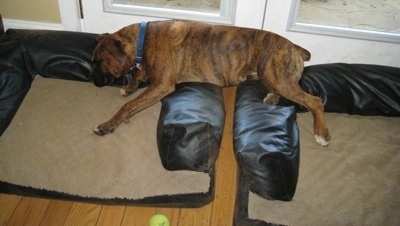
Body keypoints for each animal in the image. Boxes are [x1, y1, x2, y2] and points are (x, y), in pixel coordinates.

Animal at [90, 19, 332, 147]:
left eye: (99, 62)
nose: (94, 80)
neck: (142, 39)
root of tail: (293, 45)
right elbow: (139, 75)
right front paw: (129, 86)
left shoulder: (162, 84)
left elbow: (129, 105)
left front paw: (107, 124)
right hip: (270, 75)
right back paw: (271, 97)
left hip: (276, 75)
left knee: (314, 101)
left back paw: (321, 133)